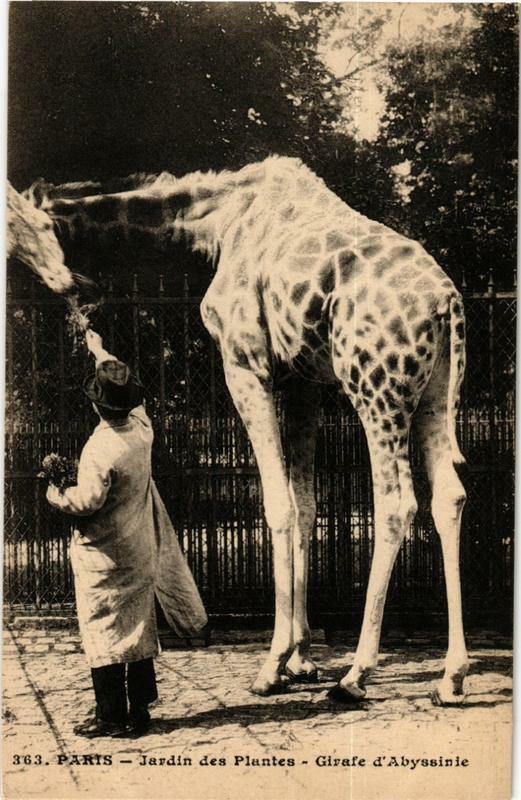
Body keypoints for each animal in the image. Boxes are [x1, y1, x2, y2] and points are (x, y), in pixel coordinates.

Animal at [25, 156, 469, 705]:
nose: (67, 287)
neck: (216, 222)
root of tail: (447, 304)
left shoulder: (245, 360)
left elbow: (278, 505)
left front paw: (273, 665)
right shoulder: (302, 379)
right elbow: (306, 505)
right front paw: (301, 660)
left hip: (375, 388)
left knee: (396, 501)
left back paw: (356, 674)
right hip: (434, 394)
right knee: (449, 496)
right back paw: (451, 676)